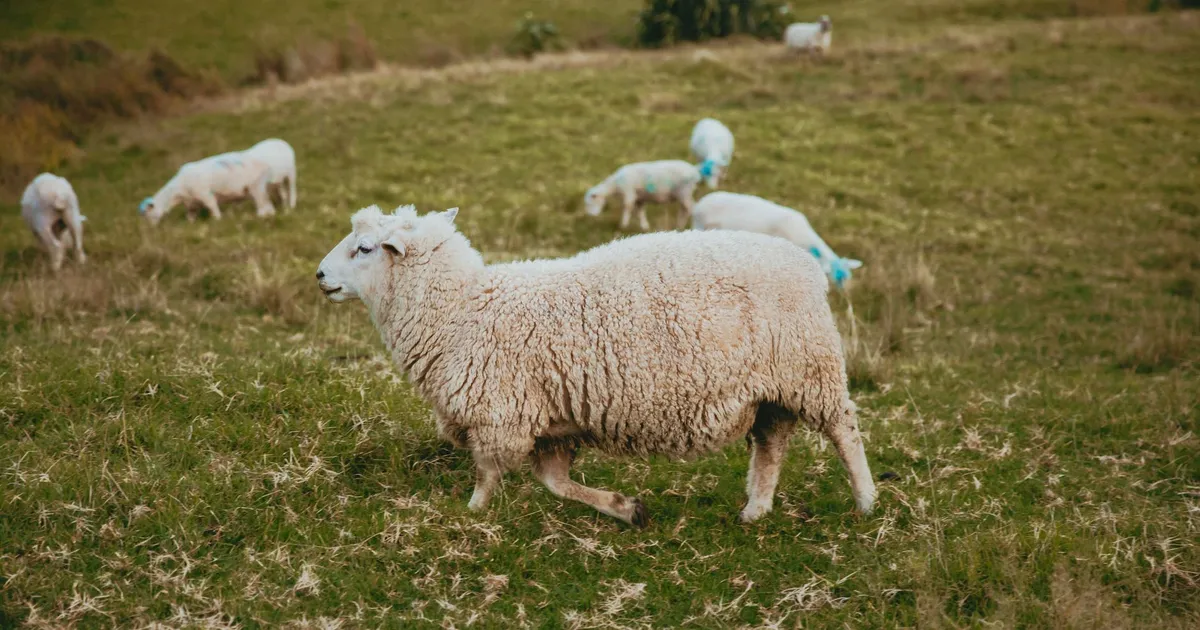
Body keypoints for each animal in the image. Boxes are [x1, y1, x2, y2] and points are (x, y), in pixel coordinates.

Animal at [138, 151, 276, 226]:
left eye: (148, 213)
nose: (152, 229)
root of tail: (265, 164)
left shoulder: (205, 194)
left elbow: (213, 207)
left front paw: (218, 220)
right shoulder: (191, 203)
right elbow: (190, 216)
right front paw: (190, 225)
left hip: (256, 186)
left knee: (262, 203)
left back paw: (261, 216)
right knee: (268, 204)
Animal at [316, 204, 877, 527]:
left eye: (364, 248)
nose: (319, 275)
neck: (460, 308)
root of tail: (807, 265)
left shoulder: (500, 414)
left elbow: (488, 473)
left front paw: (471, 514)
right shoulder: (551, 425)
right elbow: (555, 483)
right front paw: (626, 509)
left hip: (811, 370)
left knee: (844, 430)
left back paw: (867, 501)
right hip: (770, 390)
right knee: (771, 445)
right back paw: (755, 511)